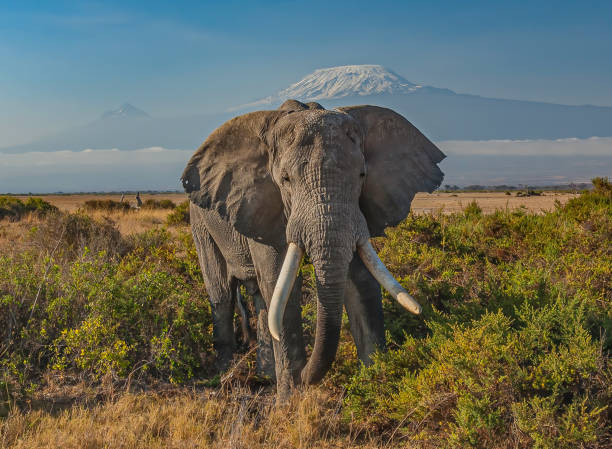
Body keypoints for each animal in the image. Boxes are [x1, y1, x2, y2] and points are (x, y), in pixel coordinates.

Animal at [182, 100, 444, 398]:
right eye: (285, 179)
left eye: (362, 175)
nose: (306, 377)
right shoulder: (264, 205)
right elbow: (280, 286)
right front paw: (288, 403)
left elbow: (362, 283)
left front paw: (377, 385)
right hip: (199, 220)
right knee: (222, 293)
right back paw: (225, 375)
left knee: (259, 298)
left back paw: (265, 376)